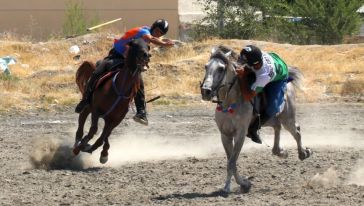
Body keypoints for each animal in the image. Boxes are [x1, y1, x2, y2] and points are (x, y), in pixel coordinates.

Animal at [200, 45, 312, 193]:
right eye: (206, 67)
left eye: (221, 68)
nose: (205, 91)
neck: (230, 102)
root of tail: (289, 81)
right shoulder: (225, 135)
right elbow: (231, 161)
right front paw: (243, 184)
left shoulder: (240, 134)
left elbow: (232, 162)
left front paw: (228, 186)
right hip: (269, 119)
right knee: (277, 127)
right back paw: (280, 151)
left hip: (287, 117)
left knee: (296, 131)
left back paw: (303, 153)